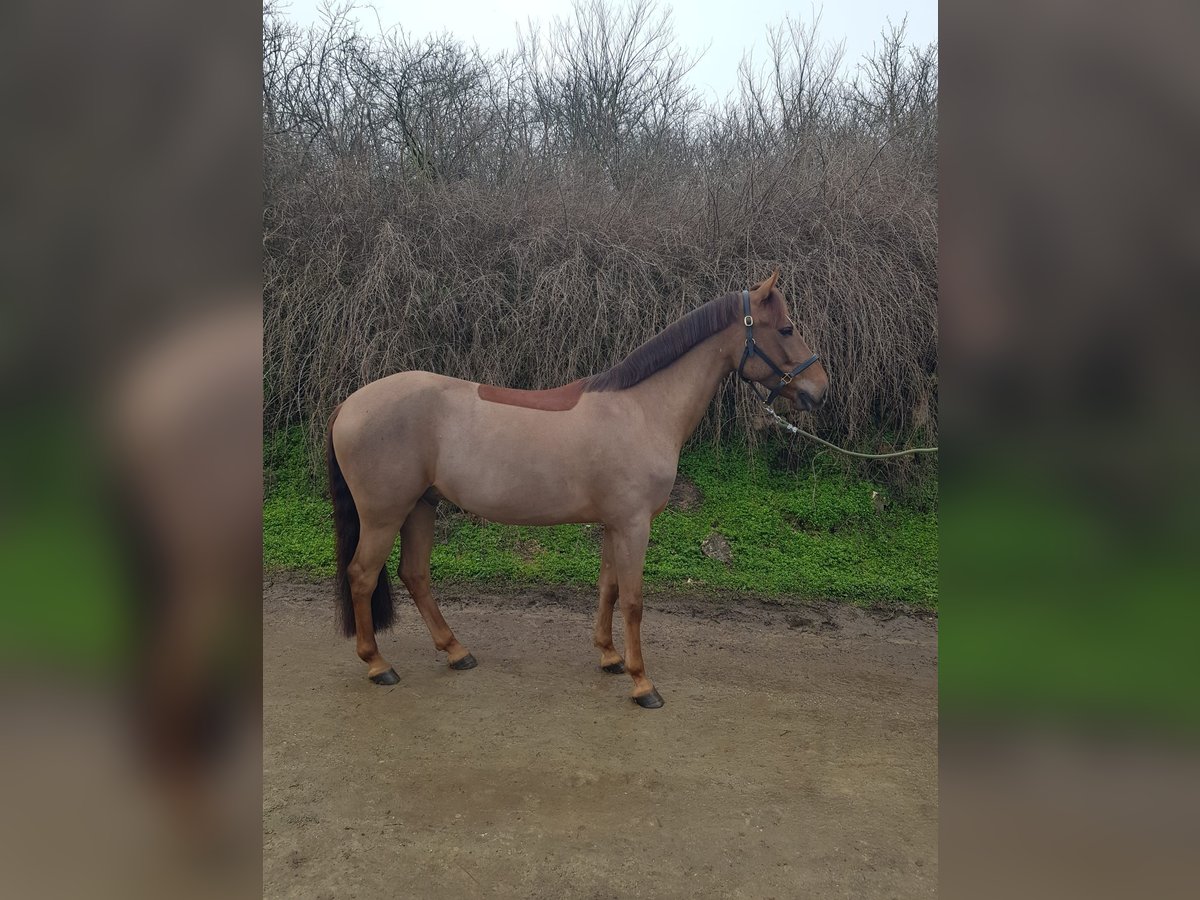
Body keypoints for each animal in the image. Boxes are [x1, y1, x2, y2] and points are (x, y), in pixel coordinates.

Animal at [325, 270, 829, 708]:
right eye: (786, 329)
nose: (820, 389)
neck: (641, 410)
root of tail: (349, 405)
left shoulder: (614, 524)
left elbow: (608, 587)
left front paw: (609, 657)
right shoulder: (634, 525)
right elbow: (633, 601)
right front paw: (642, 683)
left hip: (421, 507)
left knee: (415, 575)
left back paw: (456, 652)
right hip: (384, 515)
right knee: (362, 576)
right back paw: (378, 664)